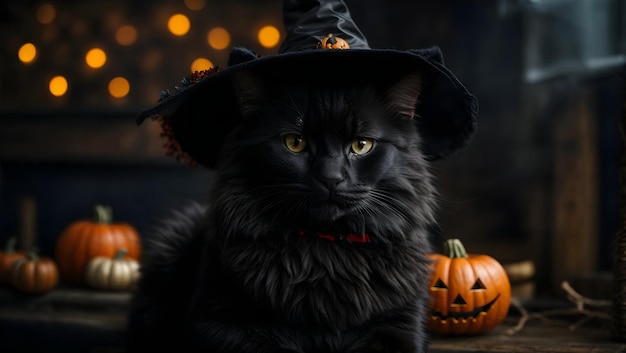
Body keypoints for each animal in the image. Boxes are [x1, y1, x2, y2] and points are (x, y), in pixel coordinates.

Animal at [127, 70, 436, 350]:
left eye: (361, 145)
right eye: (295, 143)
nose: (331, 178)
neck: (325, 251)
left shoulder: (398, 327)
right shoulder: (217, 322)